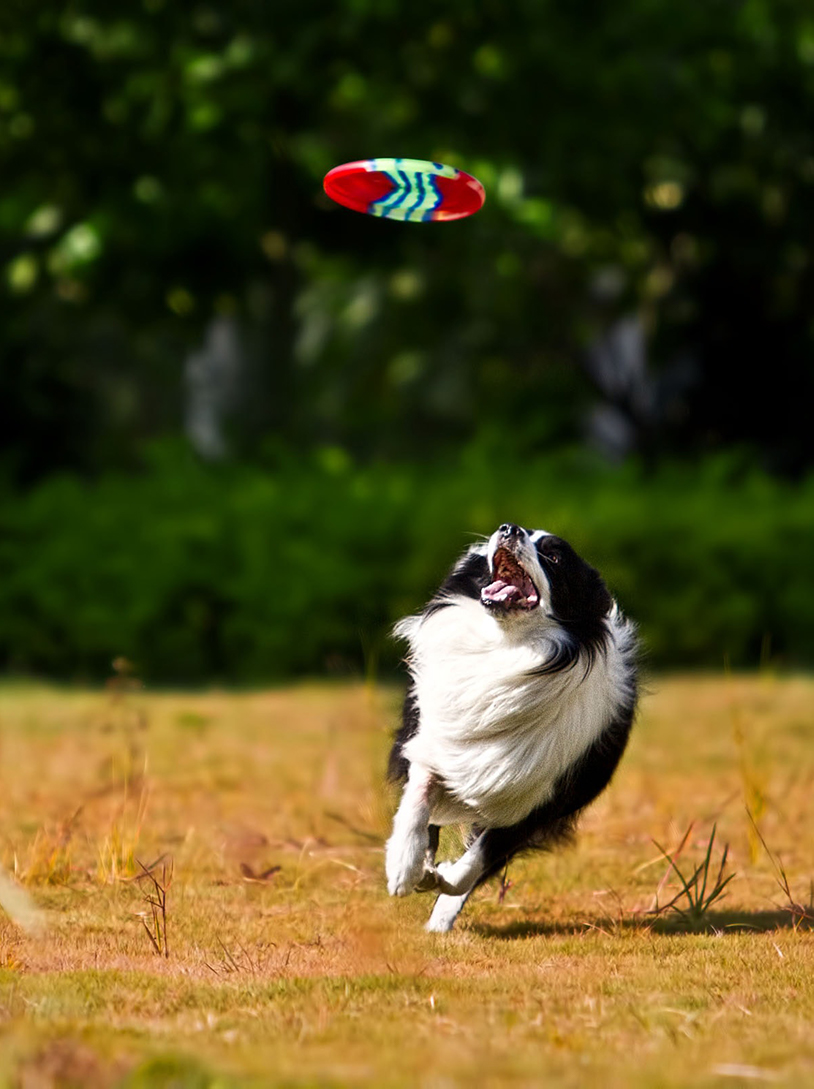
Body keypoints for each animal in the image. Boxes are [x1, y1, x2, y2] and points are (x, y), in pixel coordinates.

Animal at [385, 522, 640, 932]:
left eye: (554, 556)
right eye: (521, 531)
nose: (509, 529)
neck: (509, 648)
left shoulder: (541, 799)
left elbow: (475, 863)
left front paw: (440, 878)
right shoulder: (435, 743)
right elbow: (418, 801)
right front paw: (404, 867)